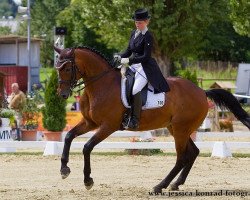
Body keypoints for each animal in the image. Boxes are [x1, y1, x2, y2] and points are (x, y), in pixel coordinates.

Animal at [53, 46, 249, 192]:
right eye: (57, 68)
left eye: (67, 68)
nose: (62, 95)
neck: (100, 85)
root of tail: (202, 91)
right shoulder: (90, 123)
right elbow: (69, 136)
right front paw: (64, 169)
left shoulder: (108, 126)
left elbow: (87, 147)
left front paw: (88, 180)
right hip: (177, 128)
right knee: (193, 152)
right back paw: (176, 184)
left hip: (181, 129)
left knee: (181, 157)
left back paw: (159, 186)